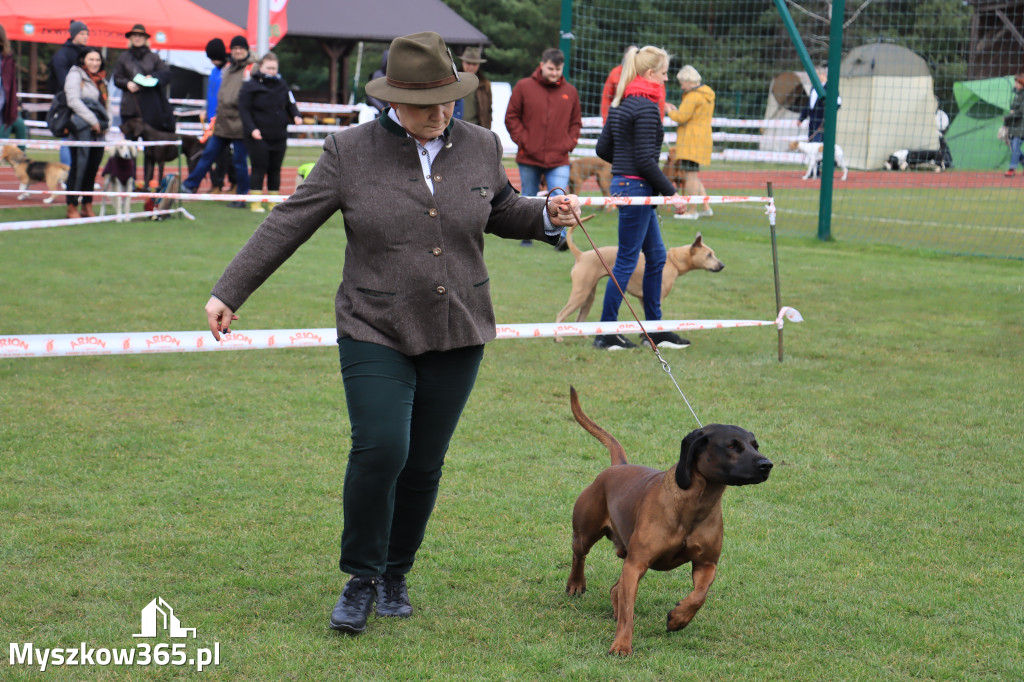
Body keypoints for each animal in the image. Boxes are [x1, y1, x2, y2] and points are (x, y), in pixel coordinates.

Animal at [557, 224, 724, 333]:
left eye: (713, 254)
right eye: (709, 255)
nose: (722, 265)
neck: (673, 261)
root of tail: (581, 255)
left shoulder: (644, 299)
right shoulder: (655, 298)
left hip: (588, 296)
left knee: (579, 319)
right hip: (580, 293)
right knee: (561, 314)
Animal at [565, 382, 770, 655]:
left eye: (755, 445)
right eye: (731, 446)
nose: (767, 464)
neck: (695, 504)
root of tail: (618, 466)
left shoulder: (706, 564)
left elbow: (699, 595)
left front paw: (678, 618)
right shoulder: (636, 564)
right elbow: (628, 612)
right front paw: (621, 645)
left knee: (616, 589)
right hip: (585, 533)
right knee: (580, 555)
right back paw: (576, 584)